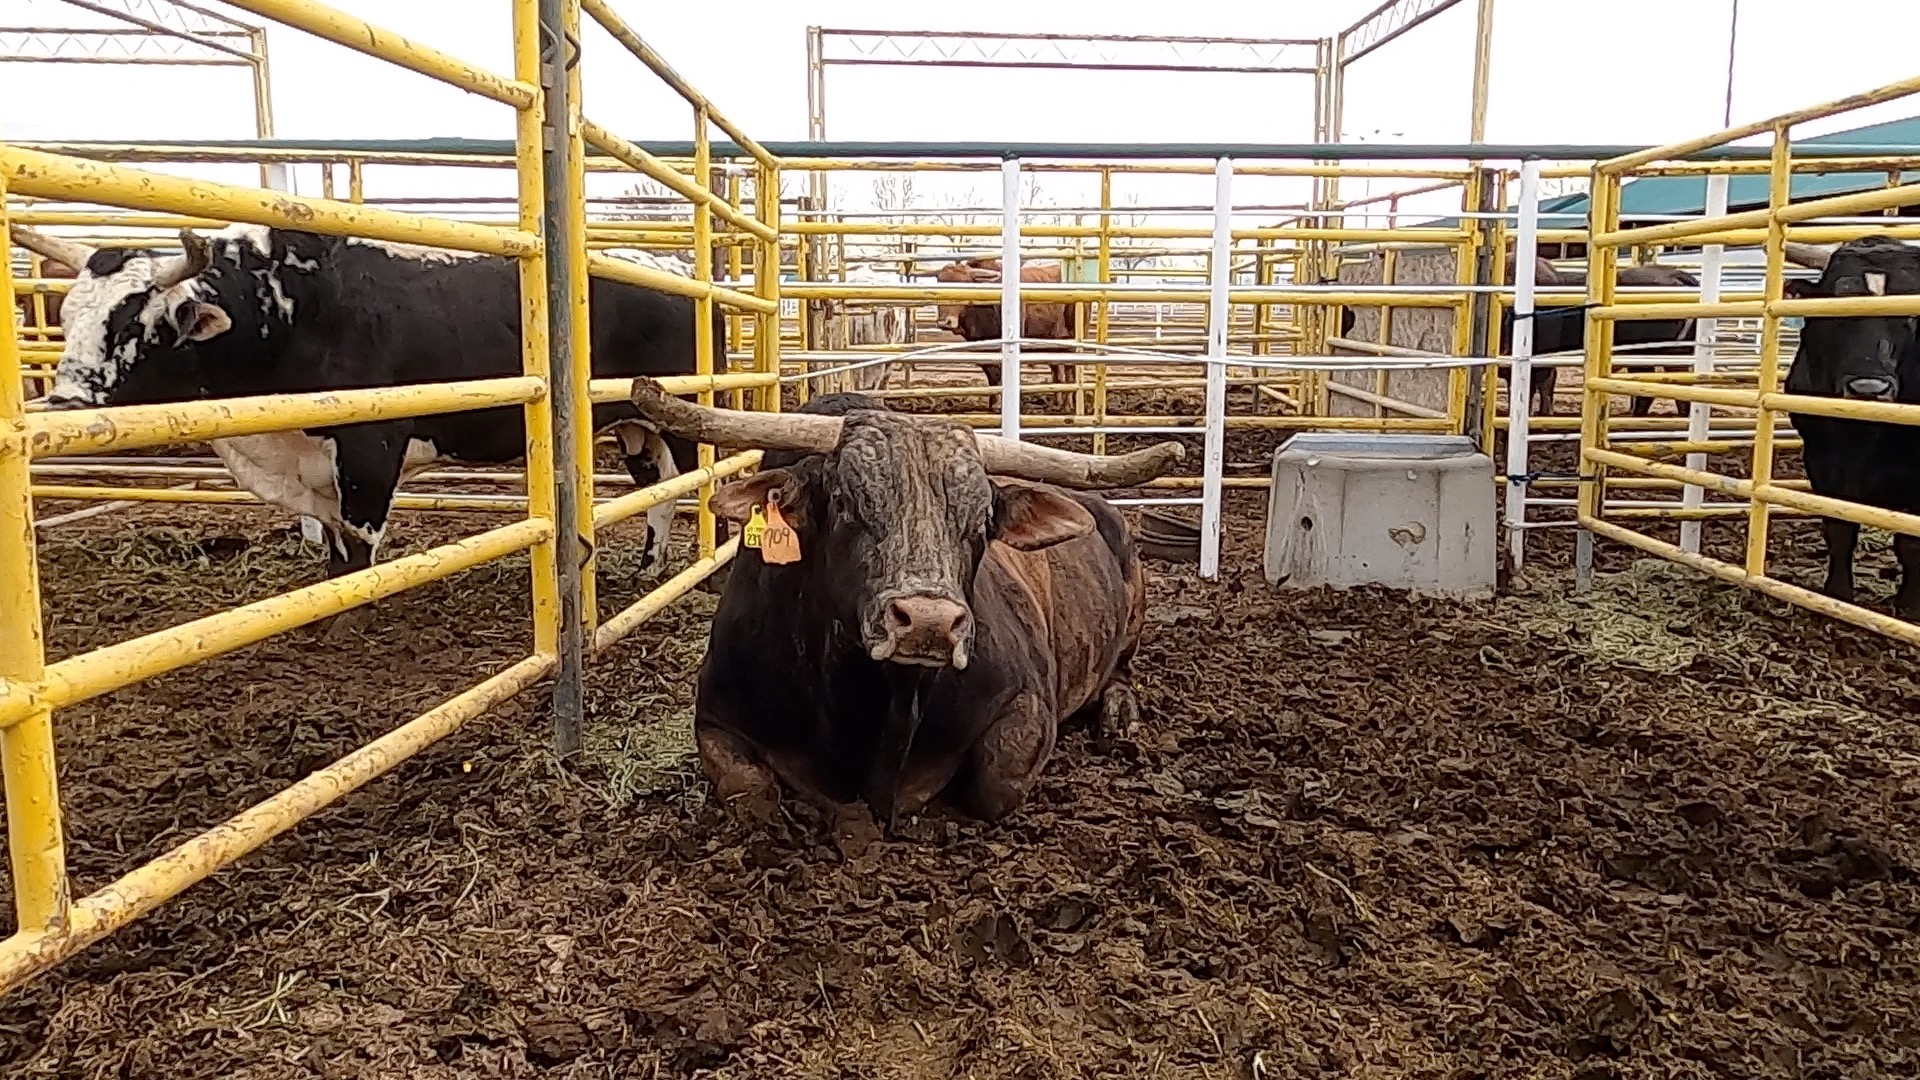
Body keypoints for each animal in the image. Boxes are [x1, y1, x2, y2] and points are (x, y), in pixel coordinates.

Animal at [12, 223, 722, 592]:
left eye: (136, 323)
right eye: (68, 317)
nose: (62, 401)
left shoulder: (370, 449)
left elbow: (357, 550)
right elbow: (331, 553)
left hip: (680, 418)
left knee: (696, 481)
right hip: (635, 426)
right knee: (659, 493)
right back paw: (651, 565)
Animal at [623, 377, 1183, 825]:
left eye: (982, 518)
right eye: (844, 501)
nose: (929, 622)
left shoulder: (1026, 703)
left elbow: (996, 781)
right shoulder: (716, 718)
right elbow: (751, 794)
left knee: (1122, 671)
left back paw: (1119, 714)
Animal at [1777, 236, 1920, 616]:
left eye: (1912, 314)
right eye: (1838, 307)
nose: (1868, 389)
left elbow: (1911, 540)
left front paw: (1910, 606)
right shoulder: (1822, 459)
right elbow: (1839, 526)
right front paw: (1837, 594)